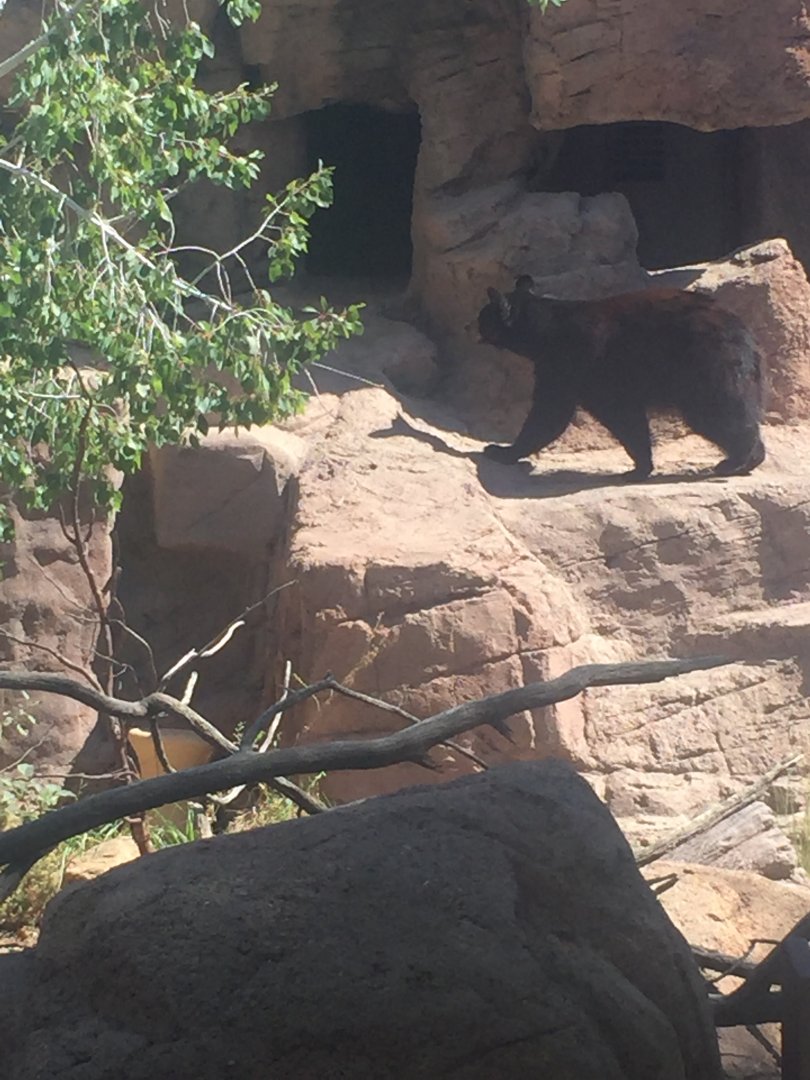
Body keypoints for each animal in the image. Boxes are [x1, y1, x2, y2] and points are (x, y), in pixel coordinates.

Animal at [478, 275, 766, 479]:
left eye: (482, 317)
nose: (474, 329)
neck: (544, 331)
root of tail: (747, 337)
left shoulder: (574, 362)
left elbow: (552, 412)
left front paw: (500, 451)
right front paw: (641, 467)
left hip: (705, 365)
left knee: (716, 412)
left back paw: (736, 460)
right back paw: (752, 458)